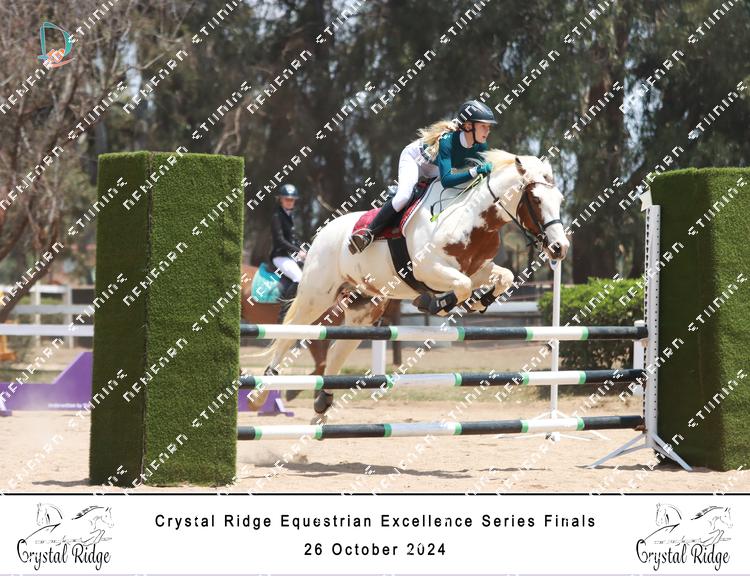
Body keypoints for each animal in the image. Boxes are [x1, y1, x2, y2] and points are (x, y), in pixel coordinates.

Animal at [265, 151, 569, 415]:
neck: (471, 218)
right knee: (291, 330)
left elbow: (501, 277)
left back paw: (323, 402)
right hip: (317, 296)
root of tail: (324, 231)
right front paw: (434, 303)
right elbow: (460, 286)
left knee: (338, 348)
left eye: (560, 198)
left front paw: (478, 302)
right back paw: (269, 380)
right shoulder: (427, 268)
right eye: (536, 200)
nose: (560, 248)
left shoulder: (478, 269)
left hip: (364, 307)